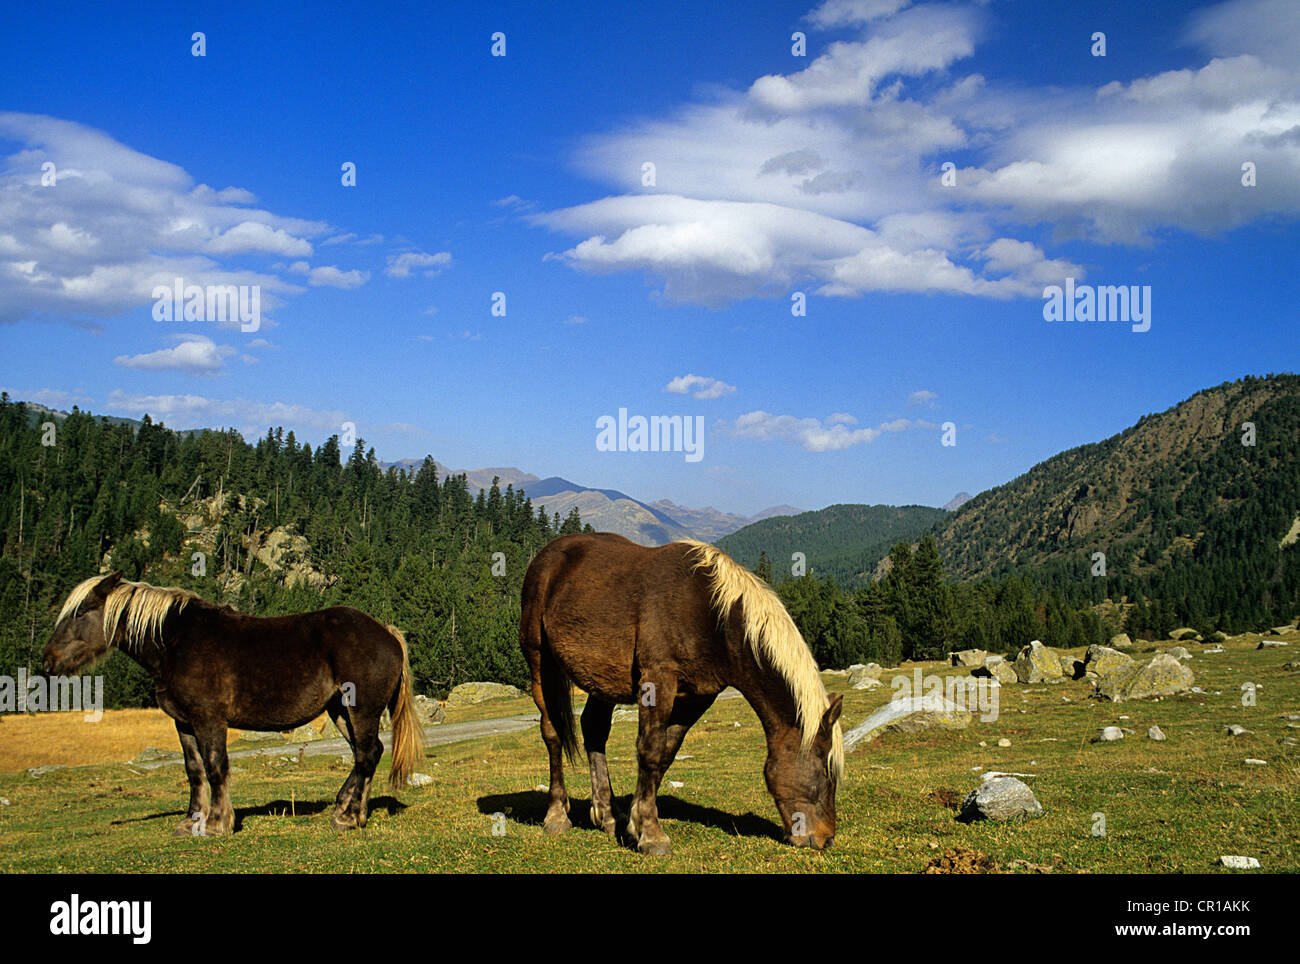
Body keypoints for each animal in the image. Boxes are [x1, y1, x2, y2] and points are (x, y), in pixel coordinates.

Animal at [42, 571, 424, 835]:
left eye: (81, 612)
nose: (48, 661)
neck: (177, 642)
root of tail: (387, 633)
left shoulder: (209, 720)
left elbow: (216, 768)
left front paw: (217, 824)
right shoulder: (184, 723)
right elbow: (194, 771)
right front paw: (191, 822)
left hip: (361, 710)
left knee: (366, 754)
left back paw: (349, 817)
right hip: (340, 712)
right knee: (366, 753)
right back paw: (348, 809)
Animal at [520, 533, 844, 856]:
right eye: (824, 775)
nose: (826, 839)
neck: (712, 615)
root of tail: (546, 556)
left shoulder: (697, 698)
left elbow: (665, 754)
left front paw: (635, 824)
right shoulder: (657, 680)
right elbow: (649, 750)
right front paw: (652, 836)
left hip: (601, 681)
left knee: (594, 730)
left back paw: (608, 816)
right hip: (540, 663)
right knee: (552, 734)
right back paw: (557, 816)